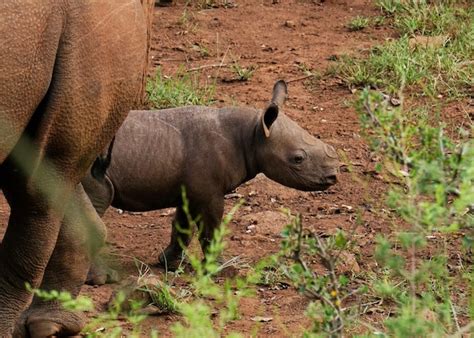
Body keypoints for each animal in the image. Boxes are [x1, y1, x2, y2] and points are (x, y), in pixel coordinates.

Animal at [83, 80, 338, 272]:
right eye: (298, 159)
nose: (333, 176)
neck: (251, 134)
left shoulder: (190, 191)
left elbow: (182, 227)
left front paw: (168, 263)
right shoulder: (209, 193)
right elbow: (211, 229)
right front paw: (220, 269)